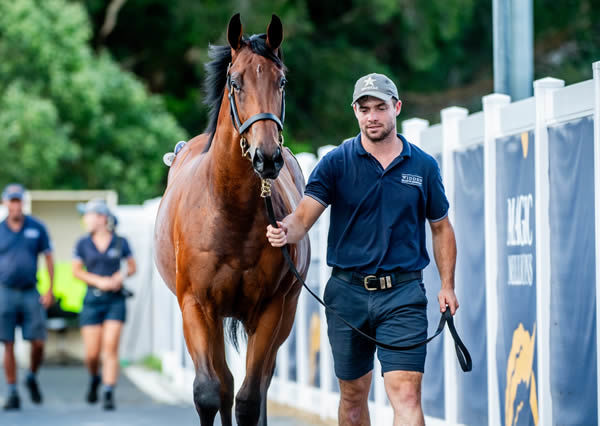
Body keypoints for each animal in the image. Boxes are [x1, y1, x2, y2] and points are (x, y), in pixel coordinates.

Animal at [152, 13, 312, 426]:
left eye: (281, 82)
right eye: (236, 82)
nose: (267, 157)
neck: (230, 215)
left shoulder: (271, 310)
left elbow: (250, 399)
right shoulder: (196, 306)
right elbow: (210, 392)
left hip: (285, 314)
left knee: (258, 384)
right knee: (223, 382)